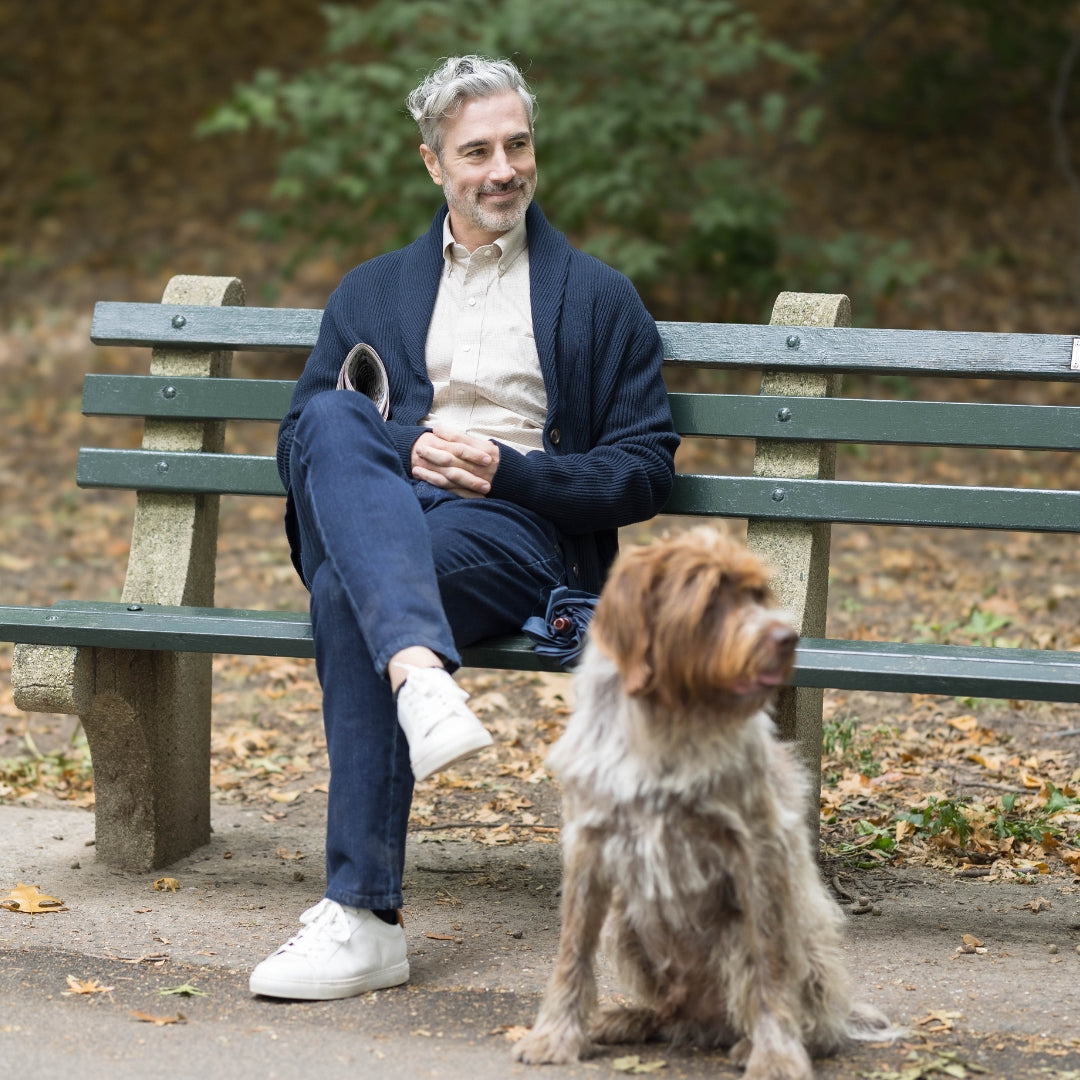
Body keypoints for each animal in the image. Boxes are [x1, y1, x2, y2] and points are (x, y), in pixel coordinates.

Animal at [514, 531, 894, 1080]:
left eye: (758, 594)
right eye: (713, 596)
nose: (787, 638)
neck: (670, 715)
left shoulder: (757, 848)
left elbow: (769, 964)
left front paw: (776, 1054)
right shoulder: (589, 839)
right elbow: (572, 952)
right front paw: (555, 1035)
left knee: (800, 1015)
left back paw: (755, 1042)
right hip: (626, 921)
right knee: (672, 1012)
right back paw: (632, 1018)